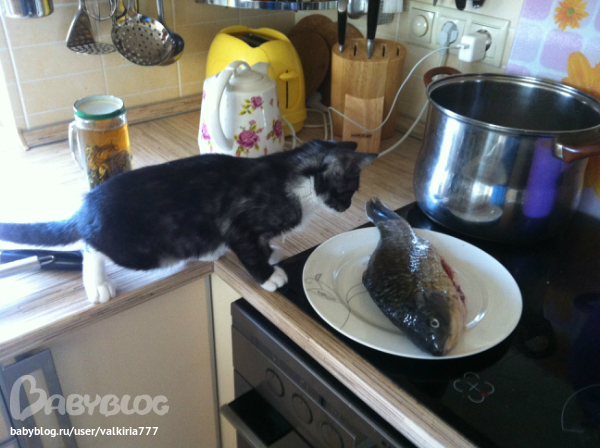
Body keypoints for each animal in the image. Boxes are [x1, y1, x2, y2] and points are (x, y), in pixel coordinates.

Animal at [0, 140, 377, 304]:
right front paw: (268, 275)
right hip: (143, 250)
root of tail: (86, 206)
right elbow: (248, 248)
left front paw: (270, 252)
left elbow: (261, 243)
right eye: (350, 189)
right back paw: (98, 285)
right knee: (89, 245)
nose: (348, 207)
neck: (291, 172)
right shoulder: (239, 223)